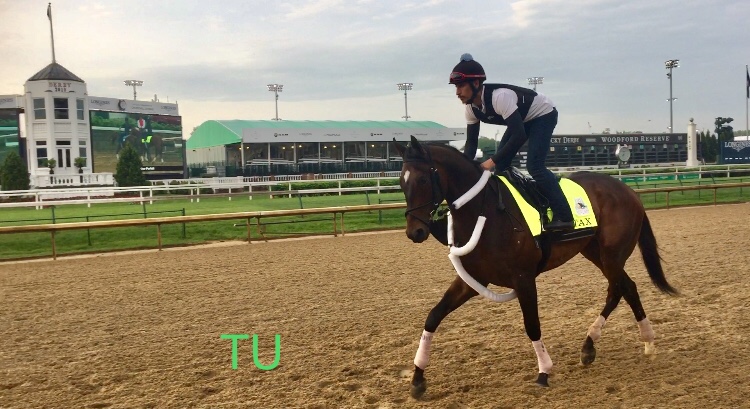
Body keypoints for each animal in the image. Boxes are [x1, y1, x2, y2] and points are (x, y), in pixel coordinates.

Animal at [396, 135, 680, 396]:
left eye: (423, 180)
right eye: (401, 182)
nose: (415, 231)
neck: (486, 212)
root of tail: (629, 191)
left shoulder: (523, 278)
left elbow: (532, 325)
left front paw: (544, 371)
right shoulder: (473, 280)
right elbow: (433, 316)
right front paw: (418, 377)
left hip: (611, 255)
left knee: (620, 288)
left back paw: (637, 341)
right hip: (594, 252)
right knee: (624, 288)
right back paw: (604, 345)